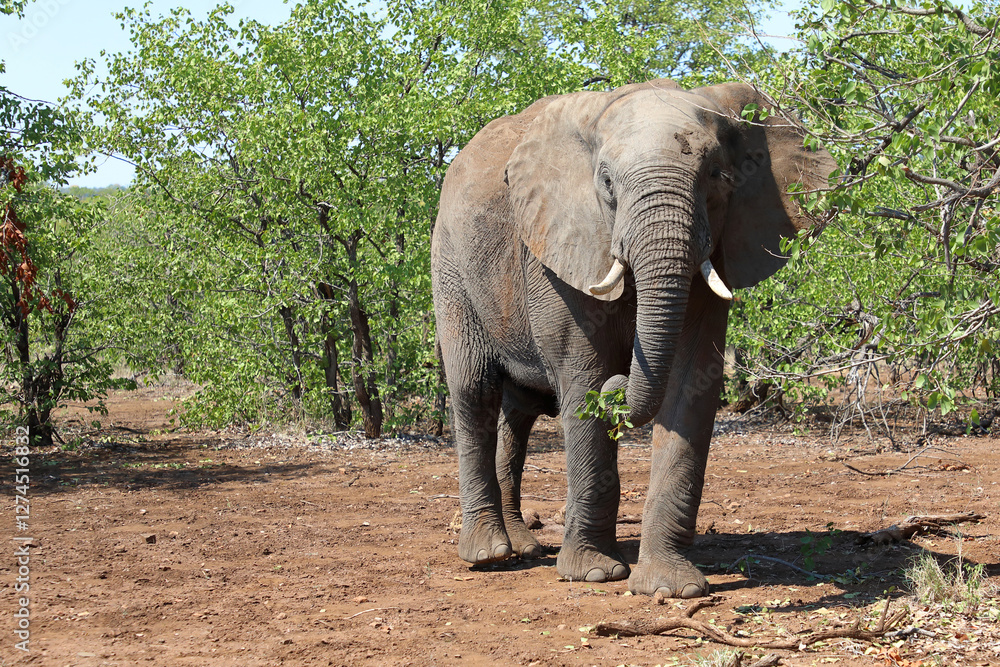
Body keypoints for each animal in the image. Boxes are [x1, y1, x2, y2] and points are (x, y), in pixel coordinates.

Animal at [431, 79, 836, 598]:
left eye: (718, 176)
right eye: (606, 182)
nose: (621, 385)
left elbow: (691, 381)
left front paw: (671, 588)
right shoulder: (559, 247)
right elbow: (584, 375)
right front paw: (596, 574)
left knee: (518, 411)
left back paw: (524, 547)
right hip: (450, 262)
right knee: (474, 389)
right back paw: (490, 556)